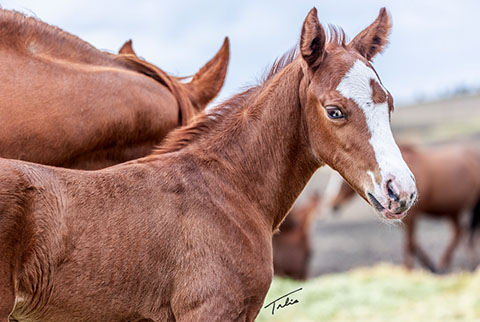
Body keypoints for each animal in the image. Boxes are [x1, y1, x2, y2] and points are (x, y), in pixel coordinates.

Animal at [326, 143, 480, 272]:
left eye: (343, 183)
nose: (333, 205)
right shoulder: (404, 218)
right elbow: (413, 243)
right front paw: (428, 264)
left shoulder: (412, 216)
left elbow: (409, 244)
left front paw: (408, 270)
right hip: (452, 211)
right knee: (459, 232)